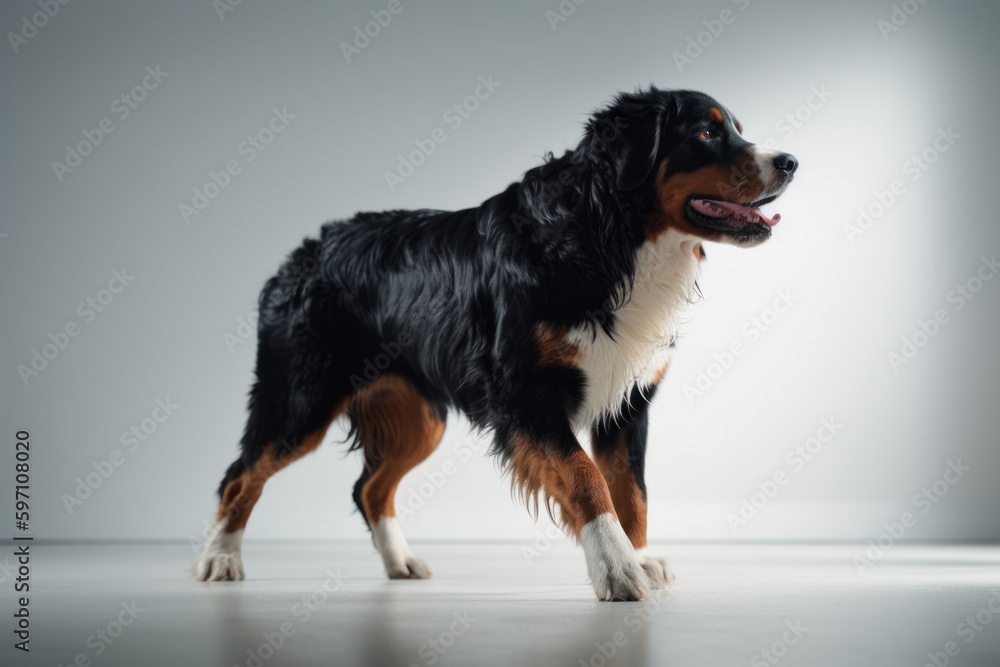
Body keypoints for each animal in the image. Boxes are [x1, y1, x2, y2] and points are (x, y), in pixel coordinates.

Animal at [193, 86, 796, 604]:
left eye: (737, 129)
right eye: (705, 133)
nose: (790, 162)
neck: (607, 240)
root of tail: (303, 252)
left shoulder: (628, 403)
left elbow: (632, 490)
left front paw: (641, 556)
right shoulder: (526, 394)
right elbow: (587, 480)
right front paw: (616, 567)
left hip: (419, 418)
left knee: (368, 488)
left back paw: (399, 562)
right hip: (301, 398)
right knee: (240, 476)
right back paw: (219, 560)